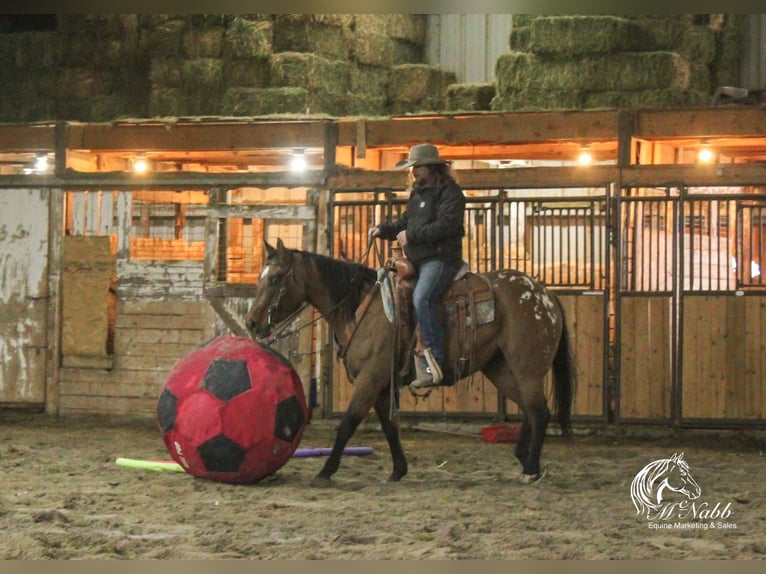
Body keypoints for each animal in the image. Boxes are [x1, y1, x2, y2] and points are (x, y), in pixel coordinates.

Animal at [246, 238, 576, 486]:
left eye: (274, 279)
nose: (251, 323)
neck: (361, 309)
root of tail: (545, 295)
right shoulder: (382, 384)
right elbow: (390, 425)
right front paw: (398, 470)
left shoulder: (370, 379)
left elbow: (348, 422)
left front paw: (325, 472)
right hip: (500, 368)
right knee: (528, 409)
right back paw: (523, 458)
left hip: (527, 367)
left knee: (539, 412)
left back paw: (530, 469)